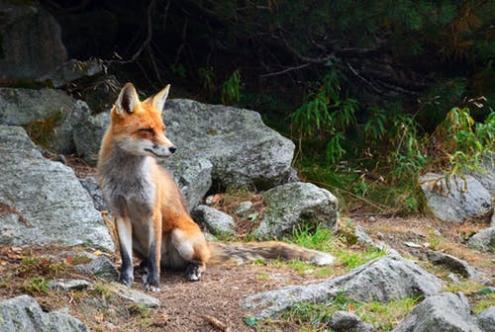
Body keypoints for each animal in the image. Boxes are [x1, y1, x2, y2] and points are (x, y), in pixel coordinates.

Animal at [96, 82, 338, 290]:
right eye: (147, 130)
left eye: (163, 129)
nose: (173, 148)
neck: (127, 181)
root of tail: (206, 244)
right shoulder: (119, 214)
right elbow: (126, 257)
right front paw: (125, 279)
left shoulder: (153, 213)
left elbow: (154, 254)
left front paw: (154, 283)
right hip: (137, 240)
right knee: (151, 259)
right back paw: (143, 267)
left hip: (180, 237)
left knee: (191, 260)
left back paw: (192, 269)